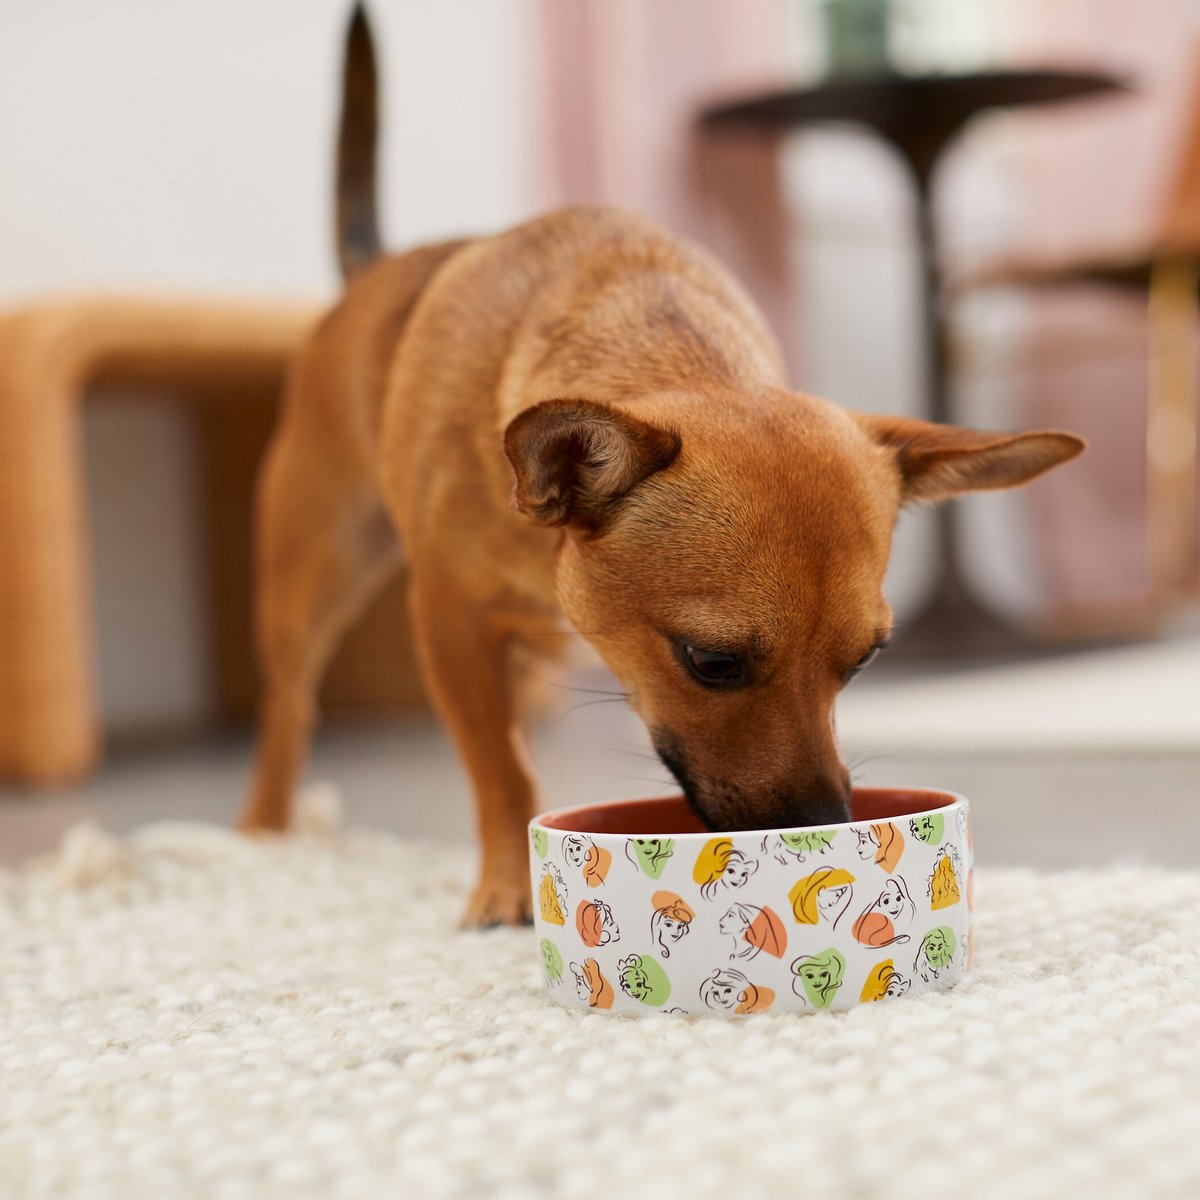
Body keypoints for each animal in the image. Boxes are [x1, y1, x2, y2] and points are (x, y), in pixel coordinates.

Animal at [238, 7, 1084, 926]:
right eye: (712, 663)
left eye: (865, 661)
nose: (823, 819)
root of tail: (376, 270)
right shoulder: (450, 623)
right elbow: (499, 771)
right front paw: (506, 886)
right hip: (316, 577)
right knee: (290, 709)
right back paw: (263, 836)